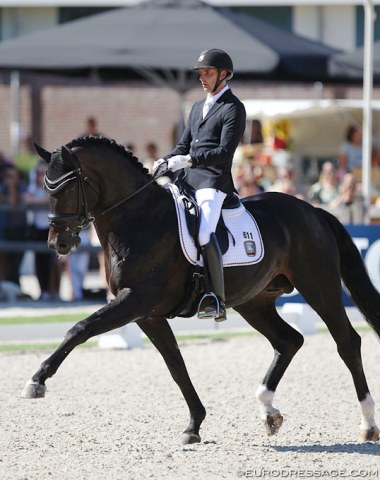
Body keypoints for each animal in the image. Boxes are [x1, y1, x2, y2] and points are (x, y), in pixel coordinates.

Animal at [21, 134, 380, 442]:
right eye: (46, 188)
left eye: (66, 188)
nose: (58, 244)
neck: (137, 218)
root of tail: (312, 210)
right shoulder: (147, 314)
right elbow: (176, 366)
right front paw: (194, 425)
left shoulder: (135, 301)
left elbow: (80, 328)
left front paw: (37, 381)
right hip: (254, 301)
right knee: (288, 341)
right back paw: (269, 412)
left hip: (319, 286)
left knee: (347, 342)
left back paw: (367, 425)